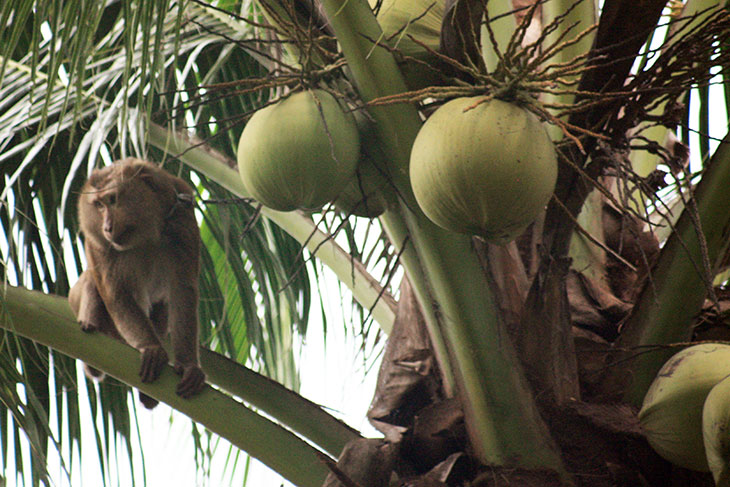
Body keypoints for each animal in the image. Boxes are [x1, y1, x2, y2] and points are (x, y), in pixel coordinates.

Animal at [69, 158, 205, 410]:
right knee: (93, 281)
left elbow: (183, 290)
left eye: (112, 200)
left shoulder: (183, 217)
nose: (107, 227)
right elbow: (116, 294)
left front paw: (189, 365)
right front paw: (151, 348)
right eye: (99, 206)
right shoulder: (96, 241)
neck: (145, 234)